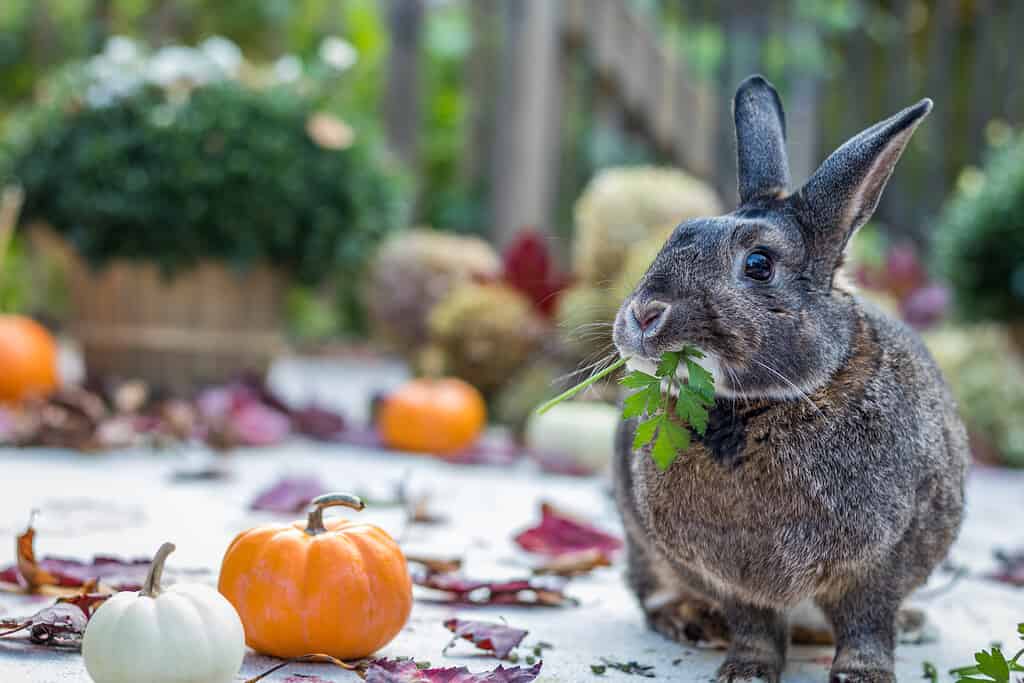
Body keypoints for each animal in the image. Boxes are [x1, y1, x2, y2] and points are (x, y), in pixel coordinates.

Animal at [606, 72, 966, 679]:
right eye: (677, 232)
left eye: (758, 265)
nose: (643, 314)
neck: (759, 405)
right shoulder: (733, 580)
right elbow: (753, 625)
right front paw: (745, 671)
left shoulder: (881, 562)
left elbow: (868, 621)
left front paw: (863, 674)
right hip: (641, 542)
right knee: (650, 591)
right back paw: (691, 622)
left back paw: (915, 625)